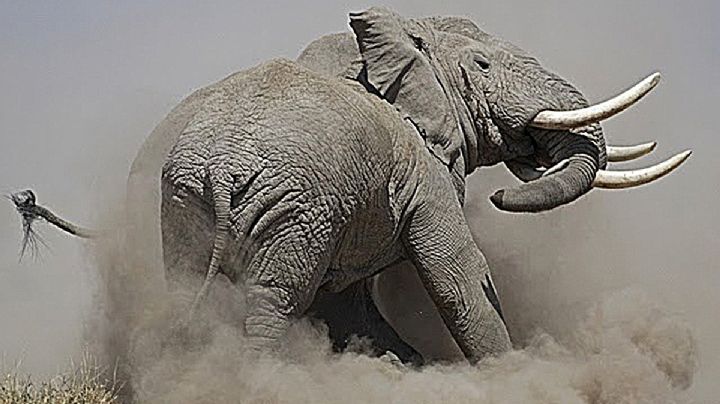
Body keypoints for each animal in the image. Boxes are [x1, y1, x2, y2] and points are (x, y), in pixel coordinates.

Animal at [11, 7, 690, 364]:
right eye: (482, 66)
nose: (501, 195)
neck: (396, 39)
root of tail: (221, 175)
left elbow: (352, 302)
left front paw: (407, 368)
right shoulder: (421, 170)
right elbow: (458, 275)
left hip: (184, 208)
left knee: (189, 292)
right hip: (295, 211)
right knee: (272, 301)